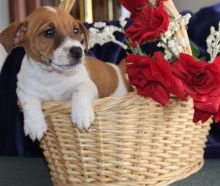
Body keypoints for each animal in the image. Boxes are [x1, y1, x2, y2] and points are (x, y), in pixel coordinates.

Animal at [0, 6, 128, 141]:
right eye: (49, 32)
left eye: (76, 30)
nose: (78, 51)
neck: (50, 75)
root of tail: (118, 70)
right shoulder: (23, 90)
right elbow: (29, 102)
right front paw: (34, 125)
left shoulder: (88, 84)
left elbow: (79, 90)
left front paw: (82, 115)